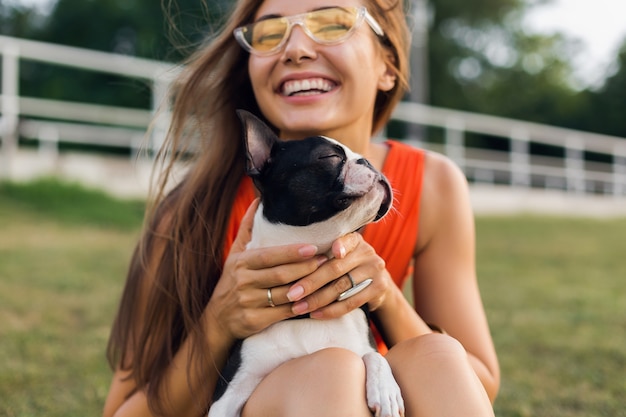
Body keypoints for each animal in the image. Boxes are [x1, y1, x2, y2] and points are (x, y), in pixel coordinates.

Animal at [208, 110, 404, 416]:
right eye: (330, 157)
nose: (367, 161)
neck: (306, 317)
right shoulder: (230, 389)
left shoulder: (361, 344)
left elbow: (375, 357)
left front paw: (386, 391)